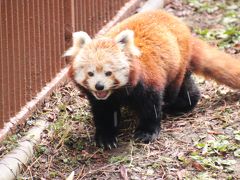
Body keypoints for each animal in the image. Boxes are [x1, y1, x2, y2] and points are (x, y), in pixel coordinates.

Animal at [63, 10, 240, 150]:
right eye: (90, 73)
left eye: (108, 73)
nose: (99, 86)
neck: (118, 92)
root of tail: (184, 29)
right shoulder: (101, 99)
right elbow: (104, 111)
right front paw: (106, 136)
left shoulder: (148, 81)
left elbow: (151, 106)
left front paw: (147, 132)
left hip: (178, 66)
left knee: (179, 92)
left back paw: (176, 105)